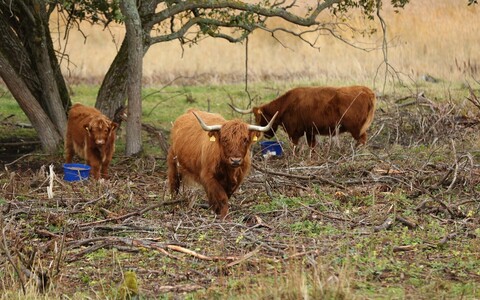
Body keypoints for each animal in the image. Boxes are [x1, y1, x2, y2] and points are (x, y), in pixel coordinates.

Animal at [231, 85, 376, 149]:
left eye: (259, 119)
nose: (265, 135)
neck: (285, 104)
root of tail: (366, 90)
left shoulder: (294, 133)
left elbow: (295, 147)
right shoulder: (310, 131)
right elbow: (312, 146)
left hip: (356, 128)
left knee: (362, 139)